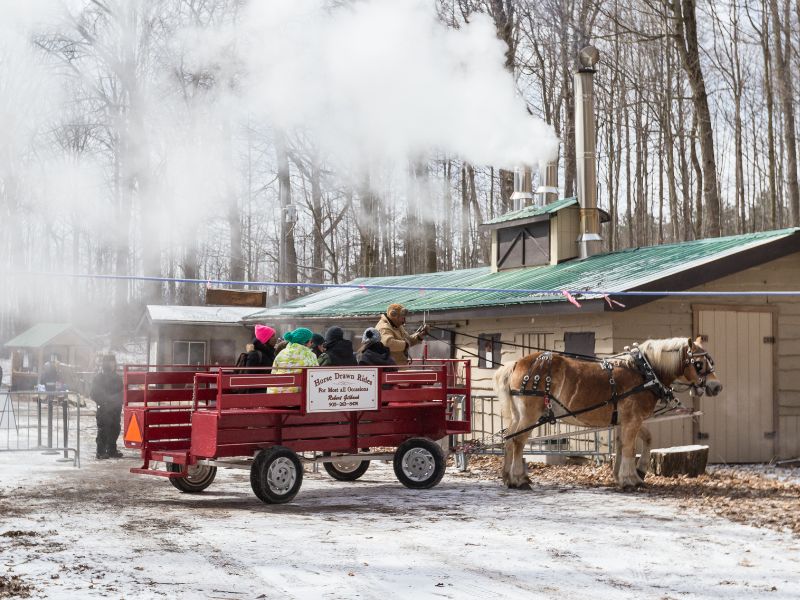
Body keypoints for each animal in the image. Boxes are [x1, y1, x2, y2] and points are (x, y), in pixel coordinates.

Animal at [494, 336, 724, 490]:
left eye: (711, 361)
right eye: (699, 364)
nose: (717, 386)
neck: (644, 372)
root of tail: (517, 363)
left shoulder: (625, 420)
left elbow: (635, 442)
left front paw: (631, 474)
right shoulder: (633, 418)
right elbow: (630, 447)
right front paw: (630, 479)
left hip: (518, 415)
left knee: (509, 439)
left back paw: (508, 477)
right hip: (530, 415)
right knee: (518, 441)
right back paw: (519, 479)